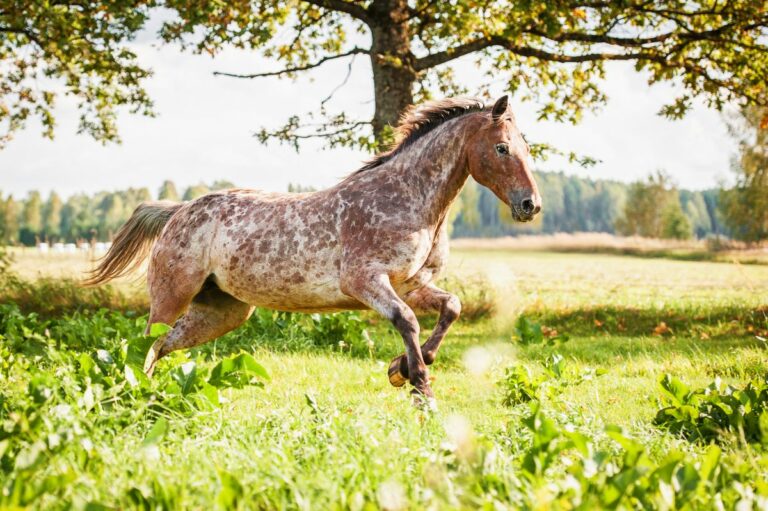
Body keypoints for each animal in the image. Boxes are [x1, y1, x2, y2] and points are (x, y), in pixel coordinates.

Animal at [85, 96, 540, 406]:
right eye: (502, 148)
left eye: (526, 147)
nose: (530, 205)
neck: (407, 200)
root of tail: (179, 211)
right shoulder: (366, 282)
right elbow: (408, 321)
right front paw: (419, 389)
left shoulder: (412, 284)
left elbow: (451, 308)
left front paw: (400, 369)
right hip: (172, 296)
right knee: (145, 343)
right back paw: (133, 396)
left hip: (223, 312)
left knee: (162, 346)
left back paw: (152, 394)